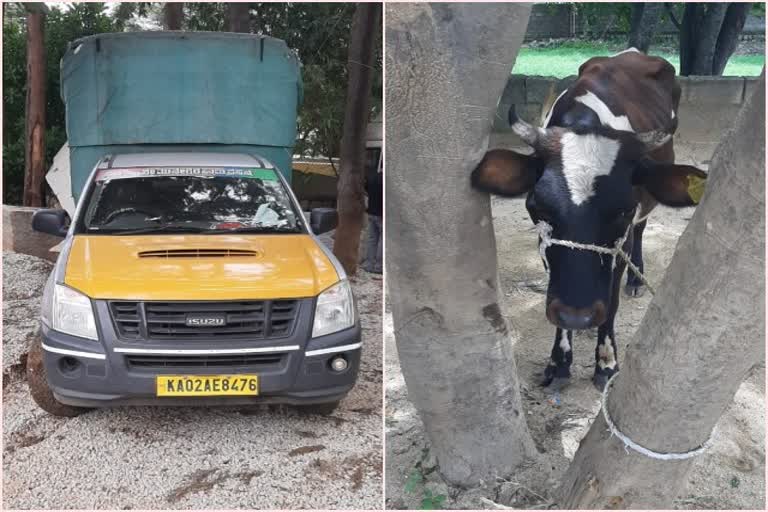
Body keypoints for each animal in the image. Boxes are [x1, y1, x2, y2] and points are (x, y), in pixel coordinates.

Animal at [472, 50, 712, 390]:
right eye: (537, 208)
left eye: (623, 210)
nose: (578, 317)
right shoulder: (546, 247)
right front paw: (559, 363)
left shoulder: (621, 242)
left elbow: (610, 304)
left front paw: (606, 362)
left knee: (642, 229)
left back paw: (636, 280)